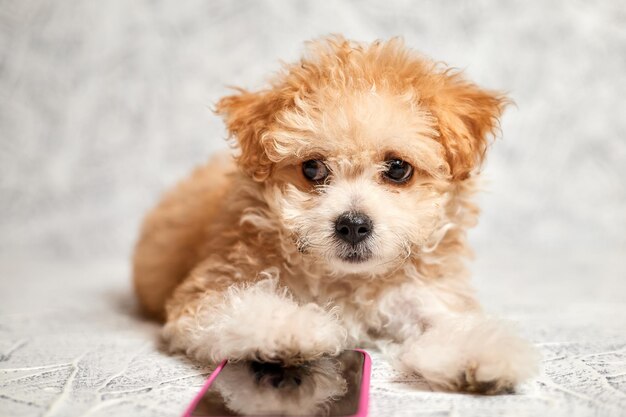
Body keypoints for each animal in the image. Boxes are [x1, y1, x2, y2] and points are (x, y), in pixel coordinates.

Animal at [134, 35, 540, 394]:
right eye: (312, 168)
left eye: (398, 168)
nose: (353, 225)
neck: (347, 280)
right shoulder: (210, 289)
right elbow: (243, 305)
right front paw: (291, 328)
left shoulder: (422, 293)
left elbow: (449, 320)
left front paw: (478, 354)